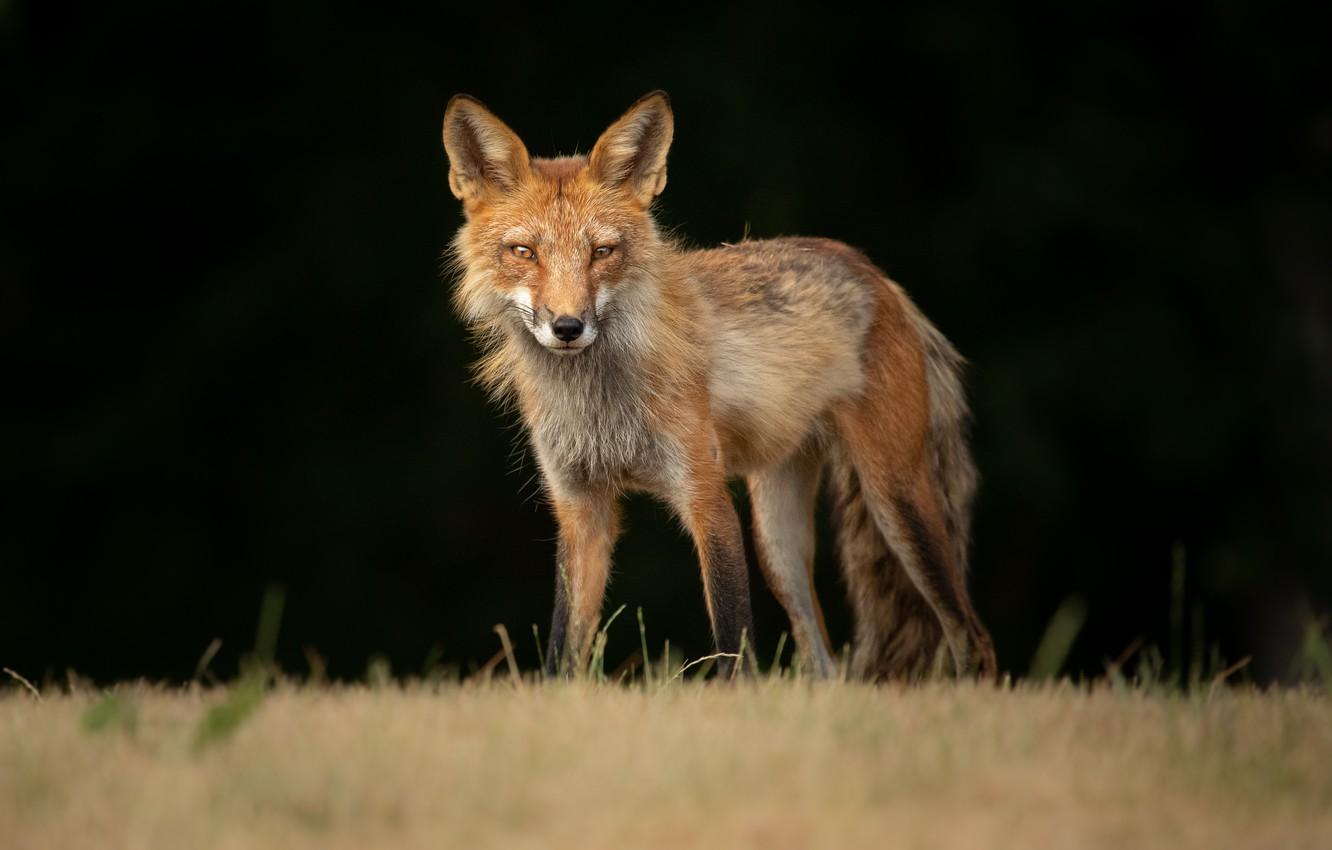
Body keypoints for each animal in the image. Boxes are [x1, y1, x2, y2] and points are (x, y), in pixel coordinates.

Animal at [441, 91, 997, 680]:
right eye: (524, 252)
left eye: (602, 252)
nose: (568, 327)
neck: (601, 406)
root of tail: (877, 276)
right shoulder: (579, 508)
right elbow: (561, 651)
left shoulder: (707, 498)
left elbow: (734, 649)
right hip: (778, 540)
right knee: (824, 664)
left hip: (896, 500)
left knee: (971, 635)